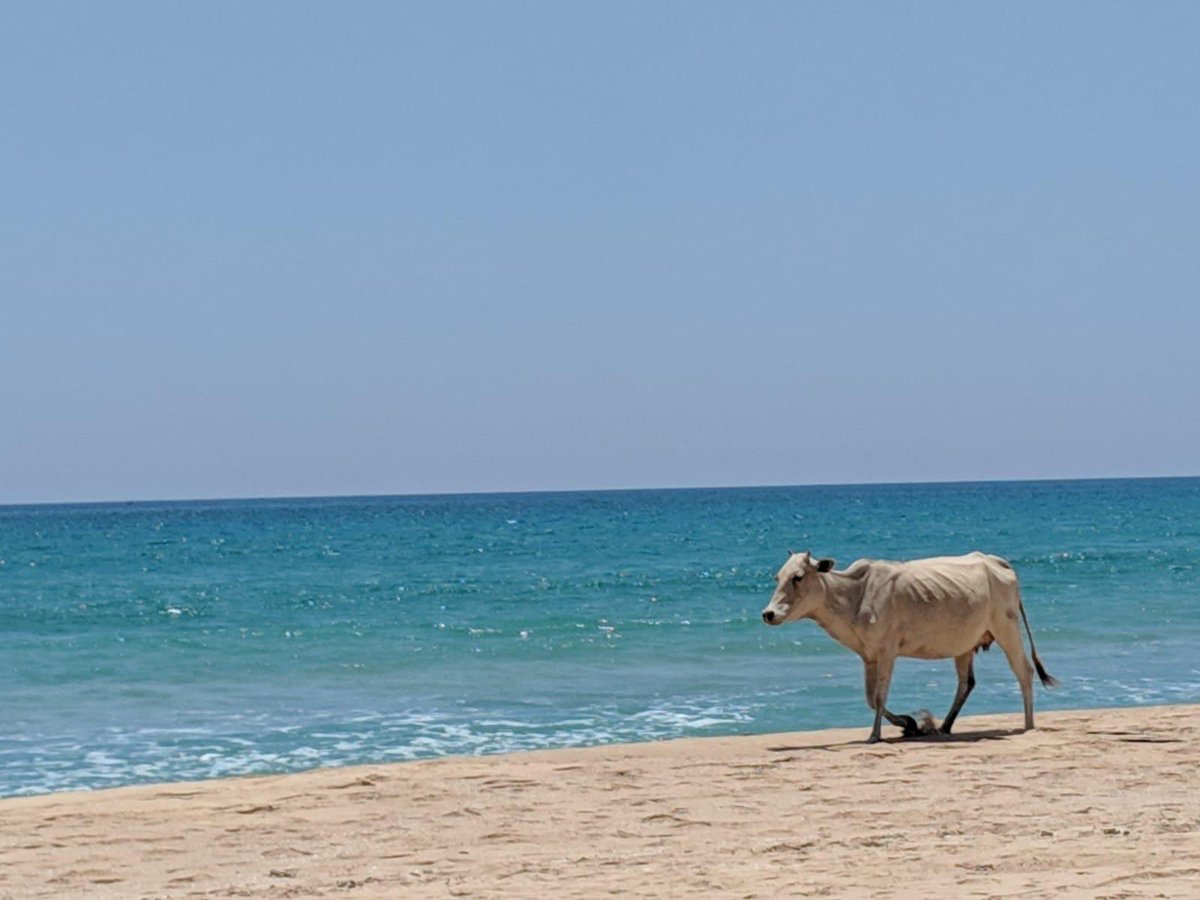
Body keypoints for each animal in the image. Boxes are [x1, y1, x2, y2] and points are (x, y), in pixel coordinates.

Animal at [763, 554, 1056, 744]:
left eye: (798, 577)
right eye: (778, 576)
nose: (768, 614)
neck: (855, 595)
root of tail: (997, 561)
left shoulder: (887, 652)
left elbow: (879, 697)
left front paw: (875, 735)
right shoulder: (869, 656)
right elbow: (871, 699)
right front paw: (910, 724)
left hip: (1006, 629)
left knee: (1024, 672)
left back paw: (1028, 725)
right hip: (964, 645)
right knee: (966, 683)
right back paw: (943, 726)